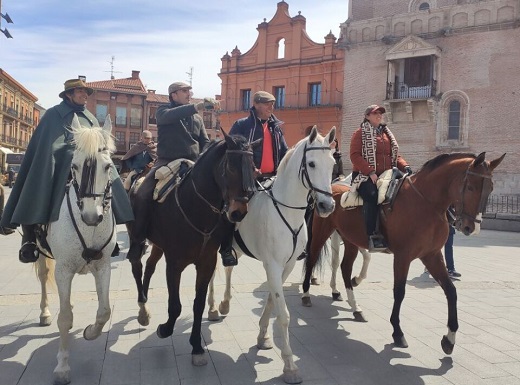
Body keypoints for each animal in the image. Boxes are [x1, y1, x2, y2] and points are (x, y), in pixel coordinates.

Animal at [36, 115, 117, 384]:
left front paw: (91, 332)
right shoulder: (63, 270)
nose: (91, 217)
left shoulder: (103, 267)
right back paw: (44, 312)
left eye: (108, 166)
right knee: (43, 279)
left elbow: (104, 311)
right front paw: (62, 366)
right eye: (74, 166)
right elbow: (63, 319)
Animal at [129, 131, 258, 366]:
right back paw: (142, 308)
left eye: (253, 167)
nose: (238, 212)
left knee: (149, 267)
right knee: (136, 266)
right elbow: (175, 305)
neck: (195, 208)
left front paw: (197, 346)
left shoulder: (206, 263)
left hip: (158, 245)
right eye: (230, 167)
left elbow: (198, 304)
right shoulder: (174, 264)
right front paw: (165, 329)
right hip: (137, 237)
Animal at [207, 125, 338, 380]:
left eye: (332, 164)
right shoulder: (273, 265)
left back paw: (225, 303)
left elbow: (270, 300)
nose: (327, 206)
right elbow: (284, 314)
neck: (288, 211)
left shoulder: (286, 265)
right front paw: (289, 365)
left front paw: (263, 336)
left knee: (228, 269)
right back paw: (213, 307)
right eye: (311, 164)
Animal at [300, 152, 504, 354]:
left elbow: (451, 291)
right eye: (470, 187)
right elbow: (399, 292)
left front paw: (450, 338)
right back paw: (306, 295)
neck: (426, 203)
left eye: (491, 188)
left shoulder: (432, 255)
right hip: (322, 232)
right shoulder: (402, 257)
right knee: (312, 259)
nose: (472, 228)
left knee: (344, 267)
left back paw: (355, 306)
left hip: (350, 239)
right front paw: (397, 332)